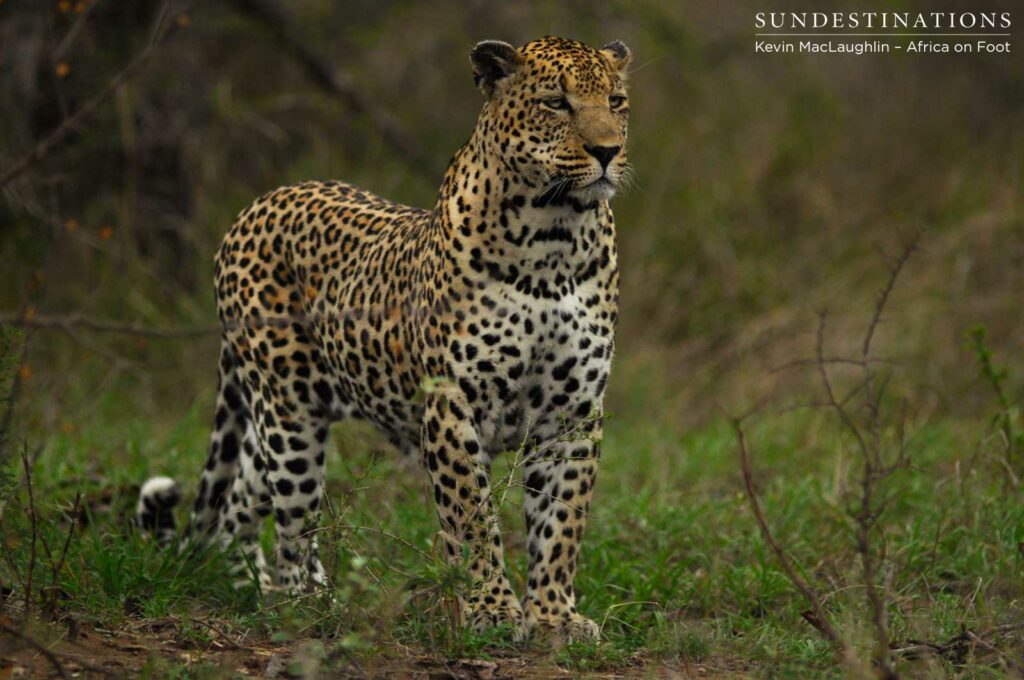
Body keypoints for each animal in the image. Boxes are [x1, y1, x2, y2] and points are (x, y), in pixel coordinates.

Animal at [138, 35, 633, 644]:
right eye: (556, 104)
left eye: (616, 102)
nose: (608, 150)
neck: (555, 238)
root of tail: (255, 206)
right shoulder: (451, 404)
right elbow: (472, 519)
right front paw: (491, 611)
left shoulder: (574, 413)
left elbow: (561, 521)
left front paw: (554, 617)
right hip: (288, 414)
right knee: (294, 523)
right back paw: (308, 604)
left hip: (281, 418)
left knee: (241, 502)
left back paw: (253, 587)